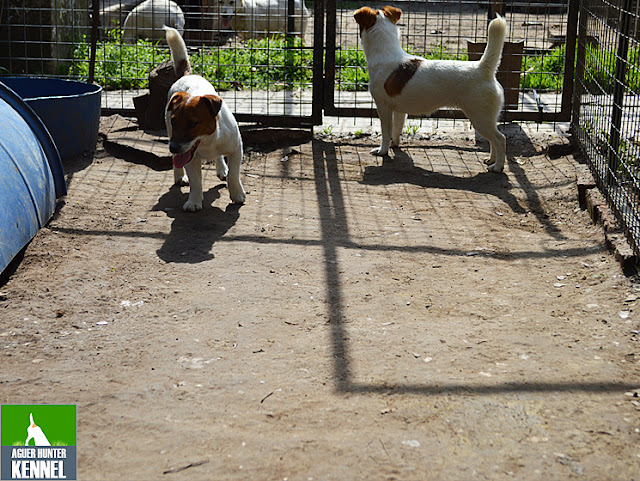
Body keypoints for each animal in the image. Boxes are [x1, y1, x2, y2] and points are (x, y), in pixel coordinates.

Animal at [164, 25, 246, 210]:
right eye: (174, 121)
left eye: (193, 123)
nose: (173, 148)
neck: (208, 141)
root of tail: (186, 75)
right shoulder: (189, 157)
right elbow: (196, 181)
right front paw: (194, 201)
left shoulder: (236, 149)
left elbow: (234, 174)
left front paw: (237, 194)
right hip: (169, 133)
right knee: (177, 163)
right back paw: (179, 176)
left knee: (220, 159)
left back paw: (221, 169)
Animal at [352, 6, 508, 172]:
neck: (385, 53)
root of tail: (483, 69)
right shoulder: (399, 111)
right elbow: (396, 130)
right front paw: (395, 145)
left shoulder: (383, 107)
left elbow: (386, 132)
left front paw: (382, 151)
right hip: (488, 119)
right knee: (493, 140)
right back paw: (491, 160)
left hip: (479, 118)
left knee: (500, 139)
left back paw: (497, 166)